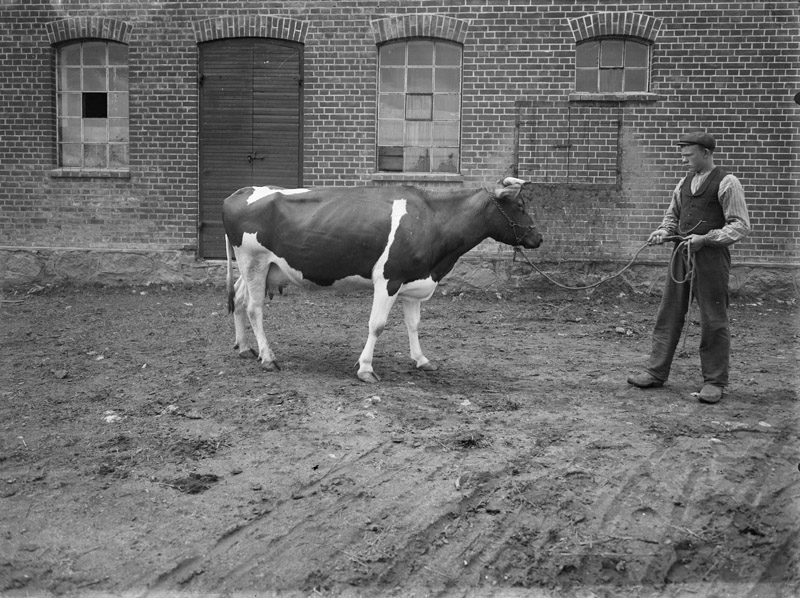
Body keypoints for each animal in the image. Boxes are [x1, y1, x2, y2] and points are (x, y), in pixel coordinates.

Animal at [222, 177, 542, 383]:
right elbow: (377, 325)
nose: (539, 238)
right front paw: (365, 368)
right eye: (520, 207)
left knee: (238, 298)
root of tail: (241, 191)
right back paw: (268, 358)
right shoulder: (388, 279)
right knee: (254, 308)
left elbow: (414, 325)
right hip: (253, 260)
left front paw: (422, 360)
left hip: (258, 266)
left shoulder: (414, 282)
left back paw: (244, 348)